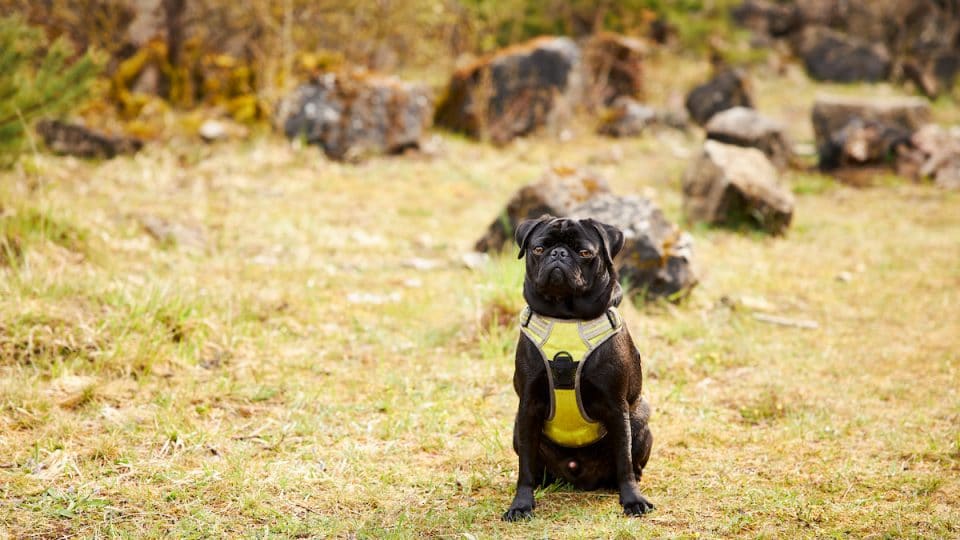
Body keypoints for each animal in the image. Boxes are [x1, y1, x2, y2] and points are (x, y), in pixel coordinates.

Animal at [502, 216, 652, 524]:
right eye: (538, 249)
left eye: (584, 253)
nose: (559, 254)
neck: (566, 317)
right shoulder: (528, 406)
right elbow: (525, 467)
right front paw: (521, 504)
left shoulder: (616, 406)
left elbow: (624, 459)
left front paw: (632, 500)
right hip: (516, 428)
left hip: (640, 419)